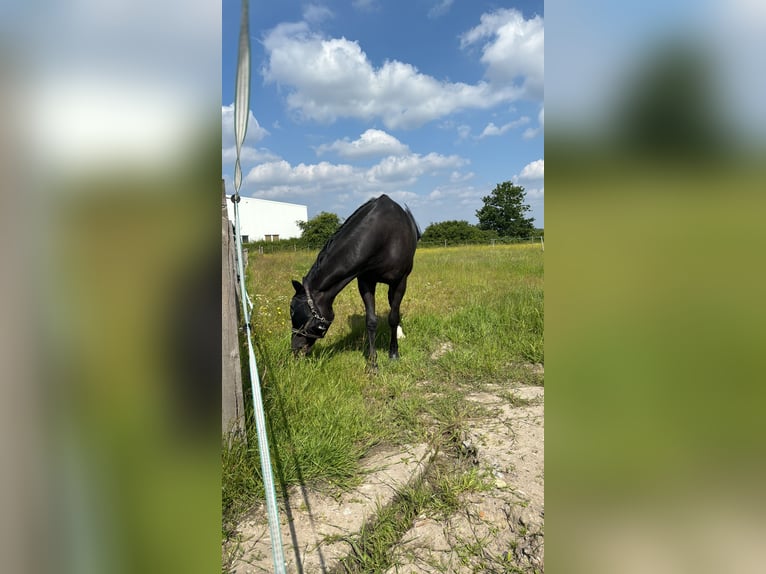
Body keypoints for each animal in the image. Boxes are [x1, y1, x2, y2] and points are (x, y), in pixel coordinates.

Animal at [292, 196, 424, 372]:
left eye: (293, 311)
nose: (295, 348)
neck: (384, 236)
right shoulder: (366, 282)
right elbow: (371, 321)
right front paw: (373, 364)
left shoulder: (399, 282)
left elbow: (393, 318)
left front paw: (394, 353)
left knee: (393, 308)